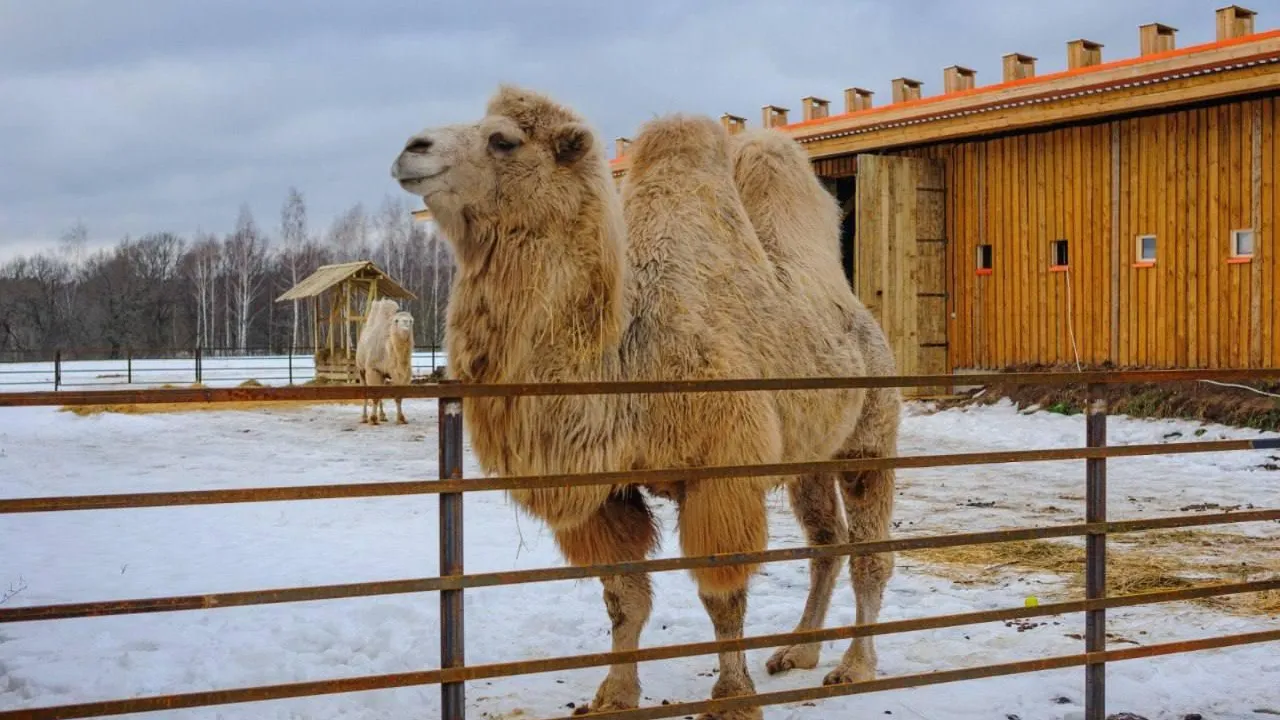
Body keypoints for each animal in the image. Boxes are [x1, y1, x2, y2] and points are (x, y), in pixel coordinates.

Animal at [389, 85, 901, 717]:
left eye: (503, 140)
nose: (412, 148)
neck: (627, 356)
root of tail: (865, 318)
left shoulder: (720, 474)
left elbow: (722, 593)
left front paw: (731, 698)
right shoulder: (605, 489)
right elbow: (623, 597)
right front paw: (614, 695)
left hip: (870, 432)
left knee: (871, 552)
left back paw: (854, 667)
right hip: (809, 455)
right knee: (826, 541)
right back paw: (796, 653)